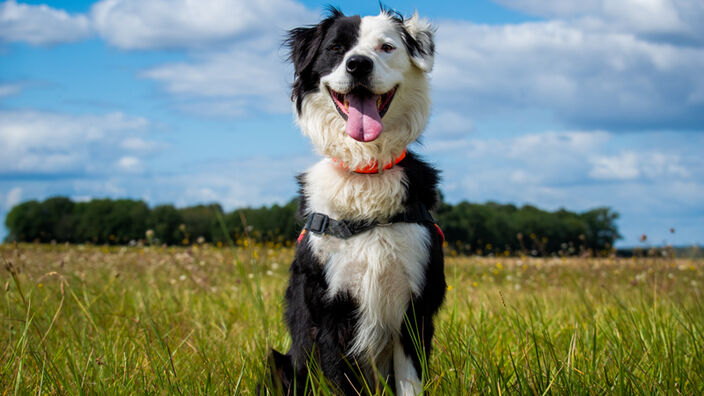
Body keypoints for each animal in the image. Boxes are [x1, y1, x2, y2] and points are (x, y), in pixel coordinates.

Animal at [268, 6, 446, 396]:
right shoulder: (329, 310)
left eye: (386, 47)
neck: (365, 174)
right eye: (336, 48)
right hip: (283, 363)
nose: (358, 64)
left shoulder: (414, 308)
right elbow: (341, 379)